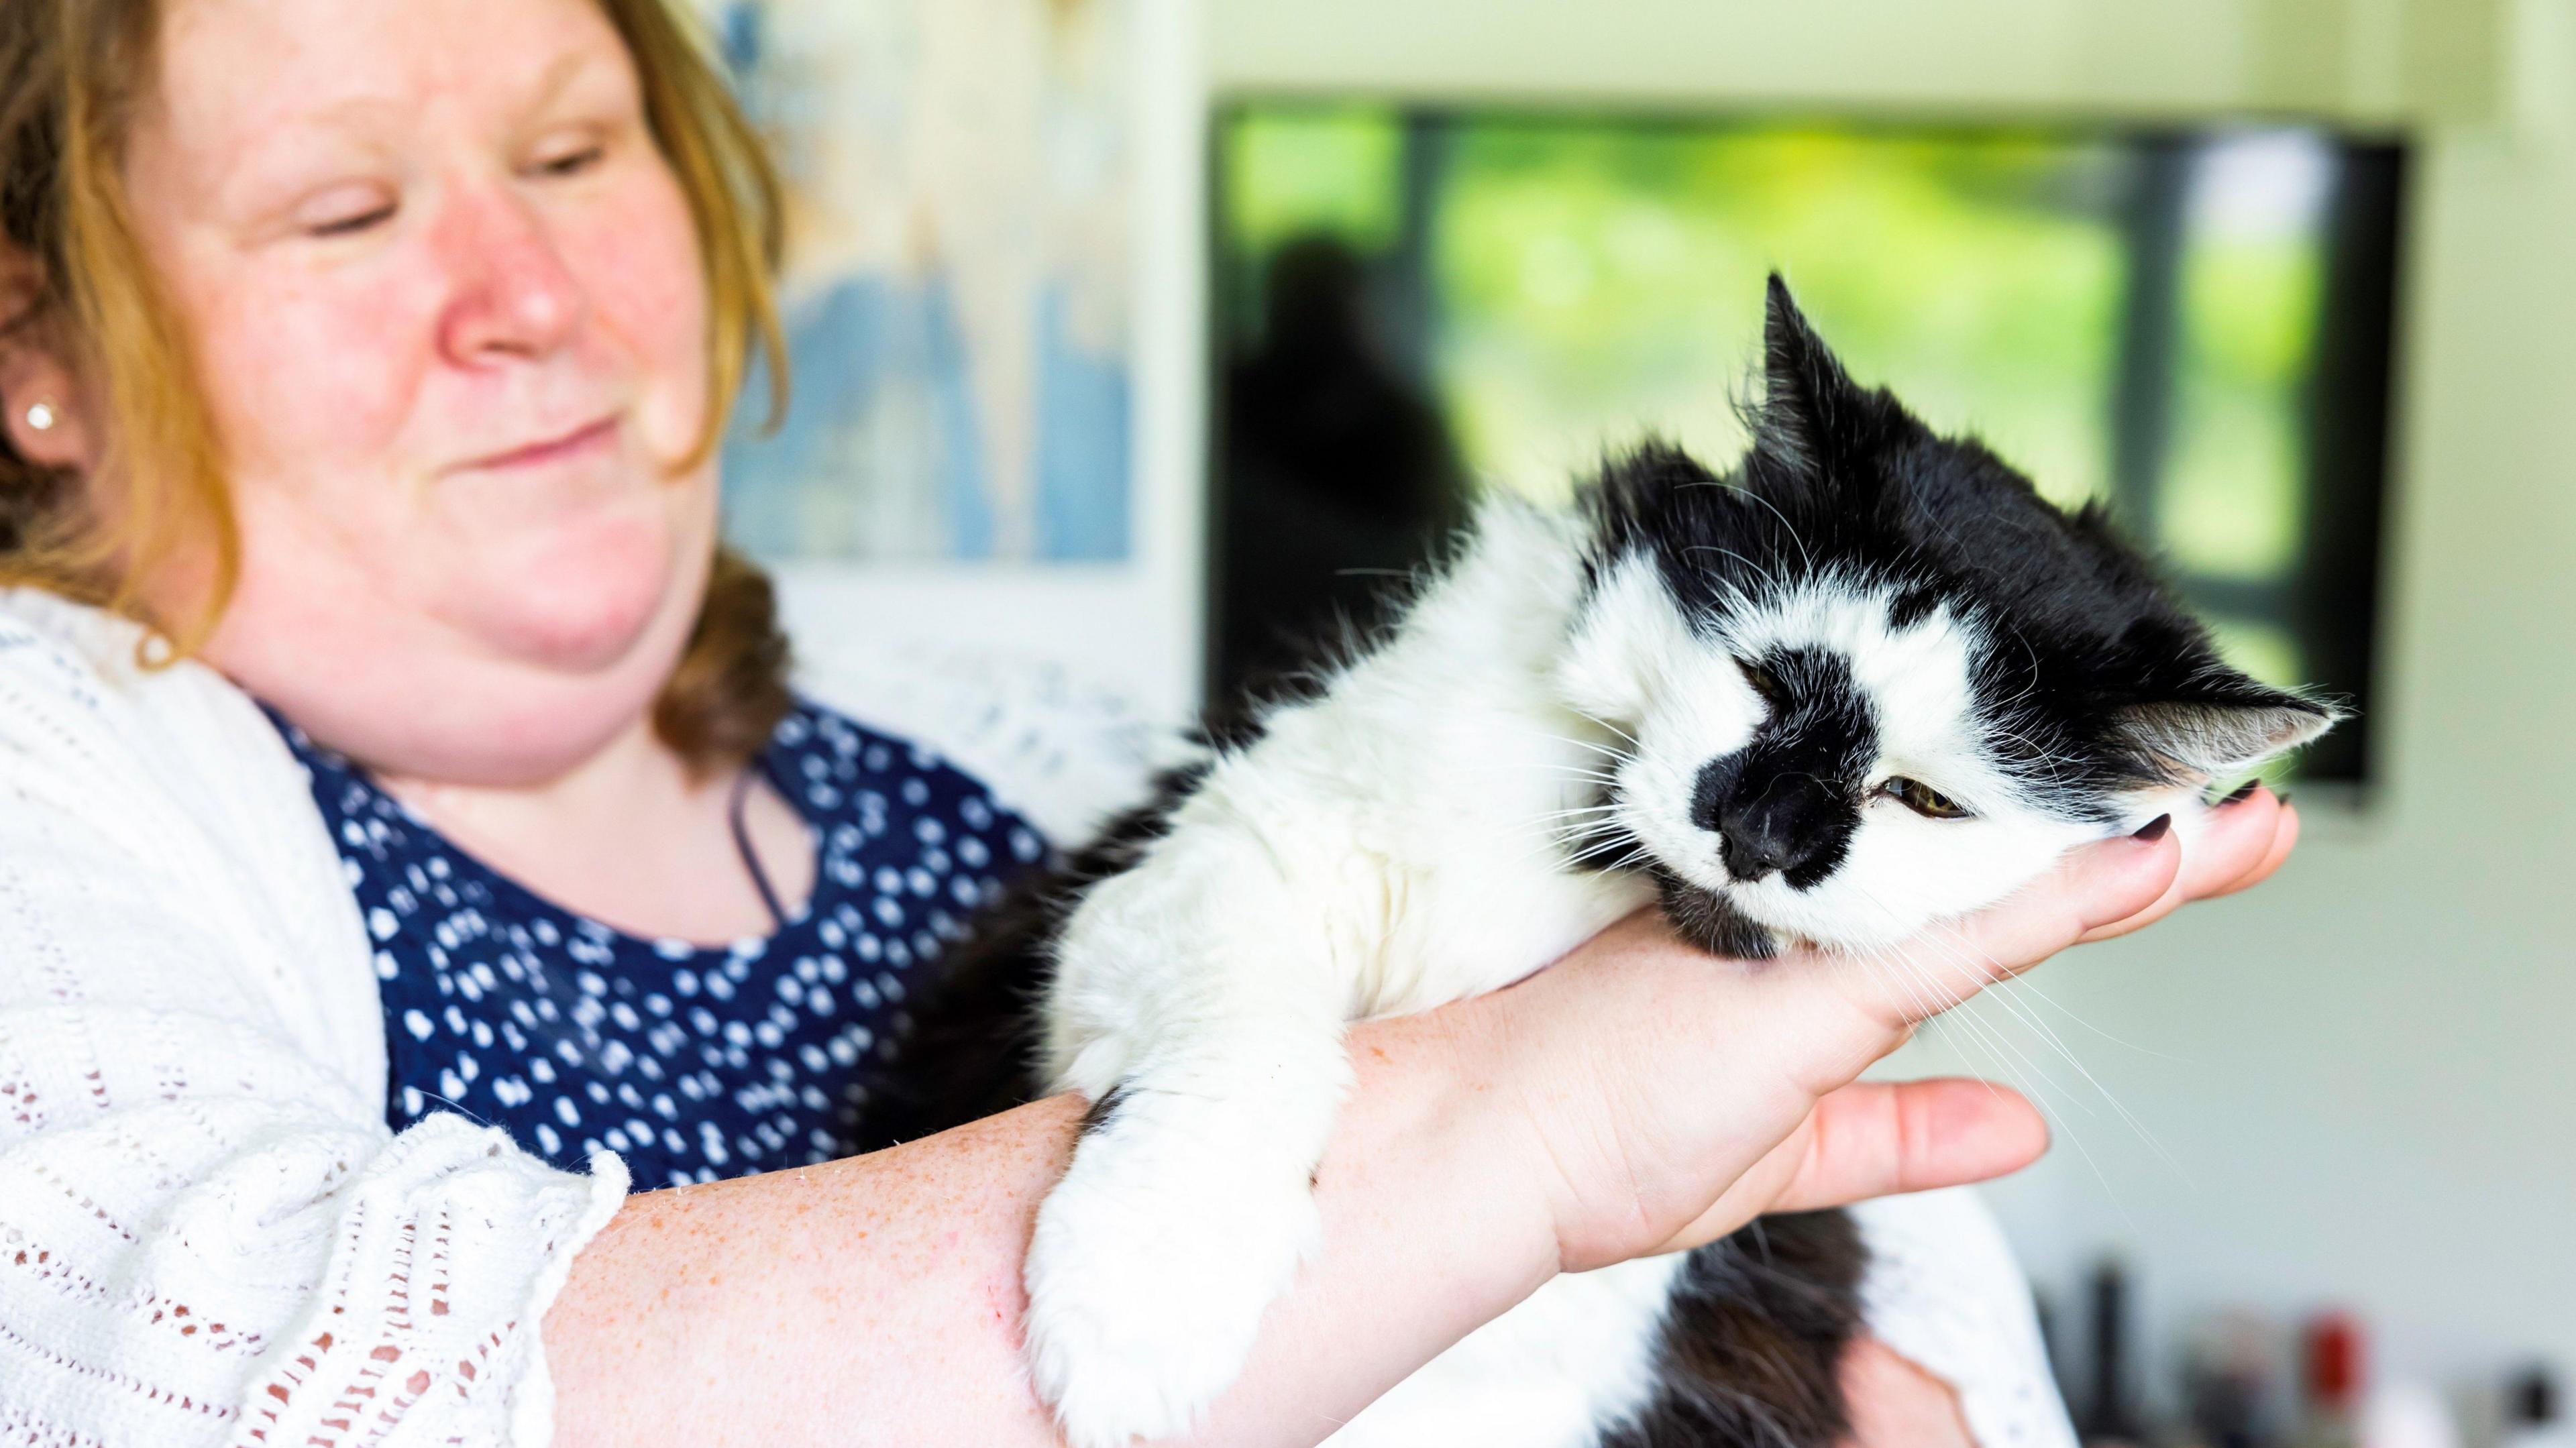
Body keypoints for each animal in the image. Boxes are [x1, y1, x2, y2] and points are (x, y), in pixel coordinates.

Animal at [881, 273, 2339, 1443]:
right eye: (1763, 678)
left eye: (1924, 797)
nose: (1757, 833)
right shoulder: (1195, 866)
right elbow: (1241, 1051)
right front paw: (1146, 1293)